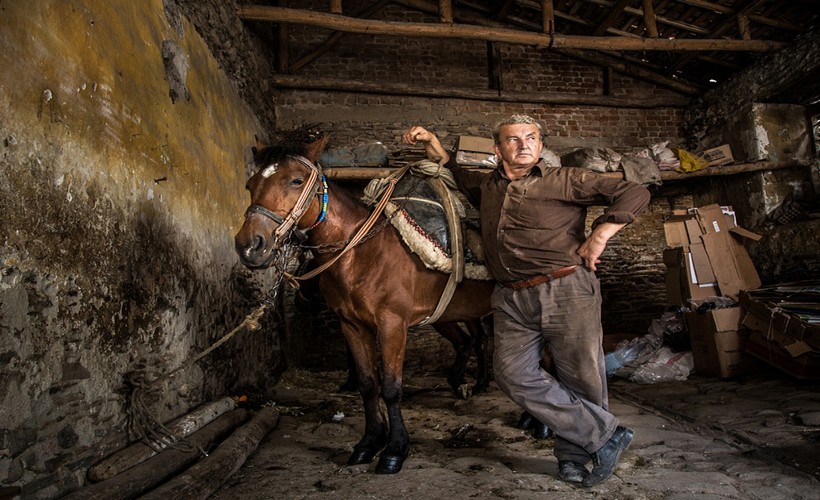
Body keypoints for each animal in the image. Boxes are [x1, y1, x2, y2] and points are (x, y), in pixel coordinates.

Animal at [234, 136, 496, 472]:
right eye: (250, 184)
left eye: (295, 180)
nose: (250, 245)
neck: (363, 254)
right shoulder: (353, 326)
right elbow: (368, 384)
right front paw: (369, 442)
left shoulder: (392, 325)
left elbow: (392, 388)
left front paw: (395, 449)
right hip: (447, 317)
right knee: (468, 342)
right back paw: (466, 384)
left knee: (490, 343)